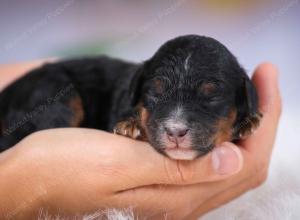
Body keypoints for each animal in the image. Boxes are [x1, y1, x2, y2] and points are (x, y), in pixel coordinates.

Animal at [0, 34, 262, 160]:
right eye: (155, 91)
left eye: (212, 96)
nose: (175, 131)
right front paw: (130, 126)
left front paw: (249, 122)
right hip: (53, 92)